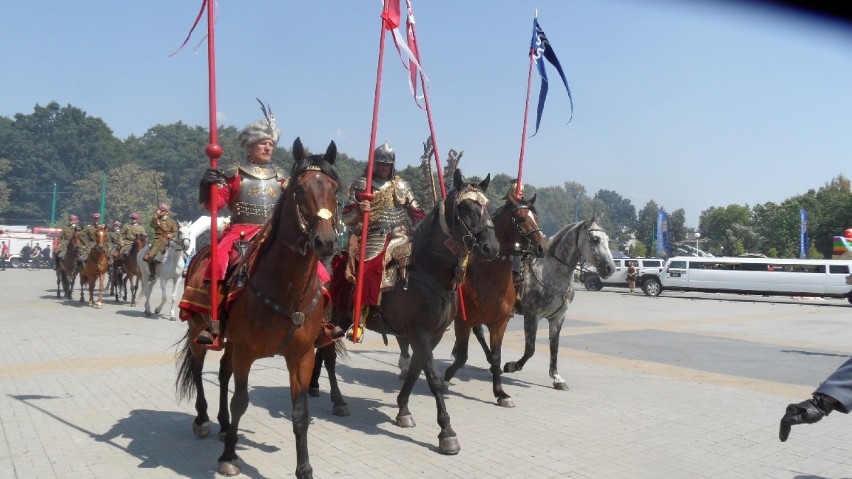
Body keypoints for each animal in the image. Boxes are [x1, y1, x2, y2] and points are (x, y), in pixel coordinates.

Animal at [175, 137, 338, 478]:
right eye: (299, 189)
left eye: (335, 188)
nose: (325, 242)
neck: (287, 290)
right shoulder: (247, 351)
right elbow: (241, 402)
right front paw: (228, 457)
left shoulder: (301, 356)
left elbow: (300, 413)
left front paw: (304, 468)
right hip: (199, 329)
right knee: (198, 367)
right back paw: (203, 420)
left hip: (231, 341)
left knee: (223, 372)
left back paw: (224, 426)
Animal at [312, 170, 500, 458]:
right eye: (465, 208)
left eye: (488, 206)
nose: (491, 247)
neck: (427, 271)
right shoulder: (418, 333)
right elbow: (433, 378)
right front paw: (447, 433)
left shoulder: (431, 335)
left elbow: (415, 371)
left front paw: (402, 410)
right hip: (336, 319)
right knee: (329, 355)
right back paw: (338, 400)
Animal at [440, 193, 544, 406]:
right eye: (521, 218)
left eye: (536, 218)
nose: (541, 247)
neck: (488, 277)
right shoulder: (463, 321)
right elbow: (462, 356)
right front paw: (445, 380)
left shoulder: (499, 324)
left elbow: (496, 357)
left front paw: (500, 393)